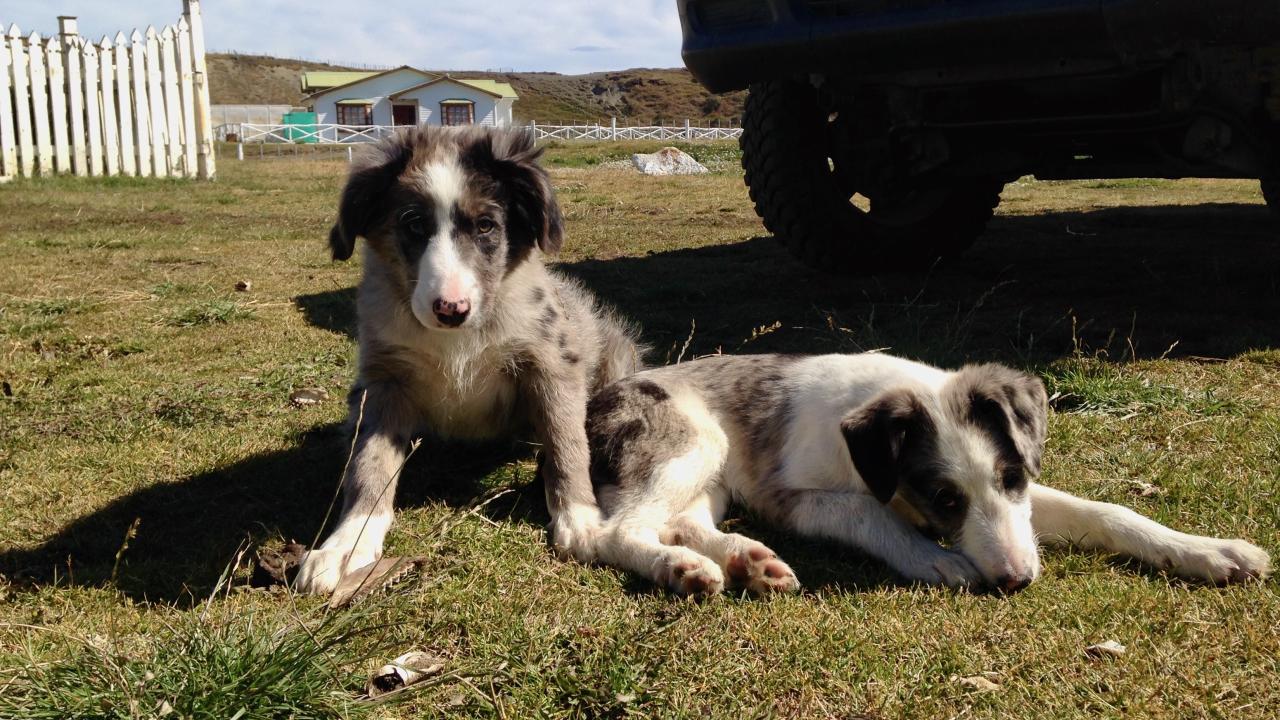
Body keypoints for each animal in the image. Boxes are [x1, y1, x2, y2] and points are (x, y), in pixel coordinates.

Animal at [296, 126, 640, 591]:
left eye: (486, 226)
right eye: (414, 224)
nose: (451, 309)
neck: (456, 339)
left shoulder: (551, 365)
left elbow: (566, 443)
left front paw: (579, 520)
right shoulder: (383, 382)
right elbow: (369, 464)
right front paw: (347, 543)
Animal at [586, 351, 1269, 591]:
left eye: (1013, 479)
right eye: (942, 498)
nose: (1018, 581)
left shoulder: (1019, 496)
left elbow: (1106, 511)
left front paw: (1207, 550)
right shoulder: (794, 496)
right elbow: (867, 509)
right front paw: (934, 560)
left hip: (716, 478)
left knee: (682, 522)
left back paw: (749, 561)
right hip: (696, 442)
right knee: (613, 532)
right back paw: (682, 569)